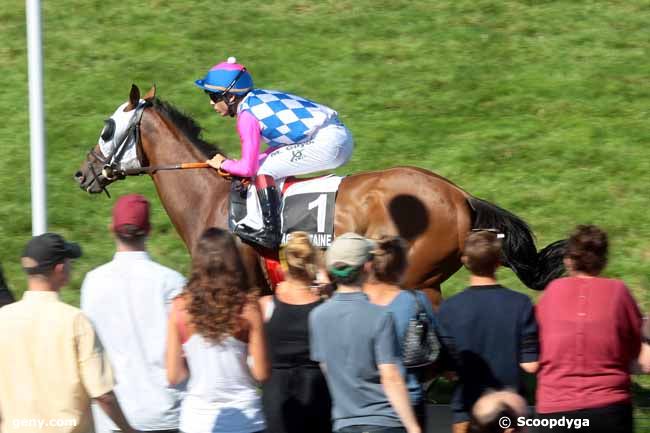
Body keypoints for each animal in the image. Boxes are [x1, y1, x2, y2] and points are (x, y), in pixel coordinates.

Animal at [73, 84, 564, 306]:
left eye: (108, 128)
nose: (83, 174)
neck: (211, 201)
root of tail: (460, 195)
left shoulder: (245, 290)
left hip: (410, 277)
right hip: (428, 281)